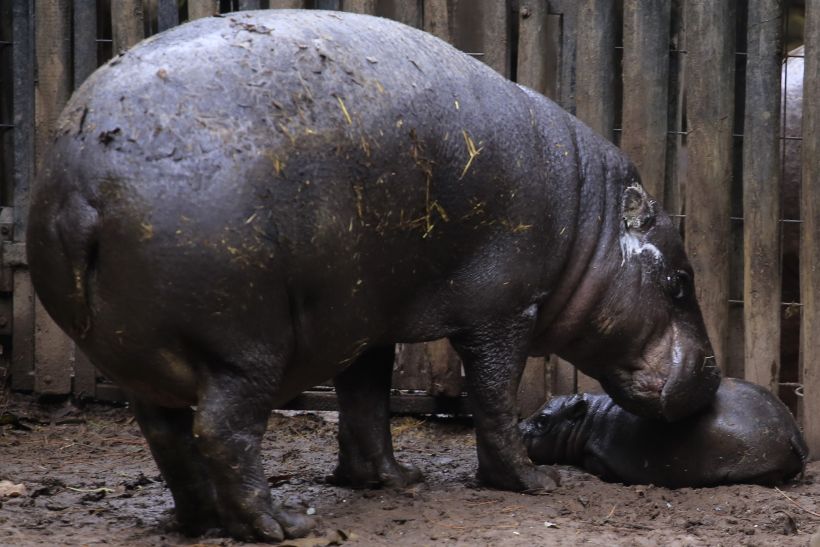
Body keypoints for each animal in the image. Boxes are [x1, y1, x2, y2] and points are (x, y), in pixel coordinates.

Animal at [25, 9, 716, 544]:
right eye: (681, 282)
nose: (713, 378)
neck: (588, 226)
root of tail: (77, 189)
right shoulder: (504, 310)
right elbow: (493, 398)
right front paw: (533, 483)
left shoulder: (366, 321)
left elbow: (367, 403)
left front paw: (394, 482)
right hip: (243, 350)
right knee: (222, 432)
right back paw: (282, 525)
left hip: (144, 354)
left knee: (167, 435)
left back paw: (201, 522)